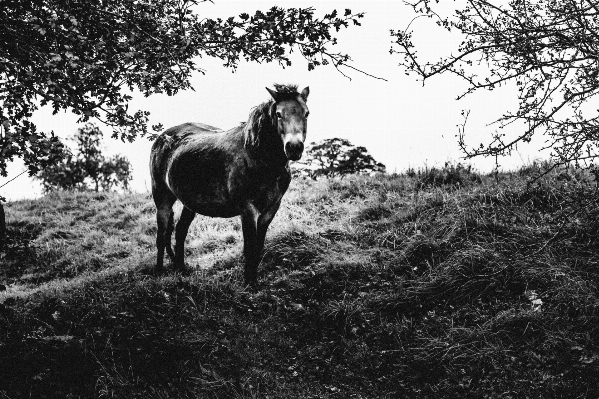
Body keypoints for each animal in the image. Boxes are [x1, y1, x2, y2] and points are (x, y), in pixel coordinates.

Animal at [149, 84, 310, 284]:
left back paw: (181, 269)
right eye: (278, 114)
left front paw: (254, 281)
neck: (257, 156)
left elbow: (258, 247)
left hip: (189, 203)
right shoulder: (247, 209)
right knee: (162, 235)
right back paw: (159, 272)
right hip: (162, 198)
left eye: (306, 113)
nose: (294, 148)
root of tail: (162, 138)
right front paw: (249, 284)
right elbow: (249, 248)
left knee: (180, 231)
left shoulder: (271, 209)